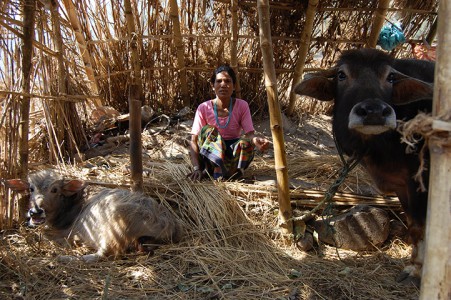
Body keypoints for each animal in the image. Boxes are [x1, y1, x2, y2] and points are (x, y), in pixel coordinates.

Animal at [6, 170, 181, 262]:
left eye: (54, 190)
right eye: (31, 189)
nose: (35, 211)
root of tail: (166, 223)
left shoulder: (66, 232)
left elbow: (43, 234)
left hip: (112, 230)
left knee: (103, 254)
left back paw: (64, 257)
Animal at [294, 48, 436, 284]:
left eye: (390, 77)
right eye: (341, 75)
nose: (374, 112)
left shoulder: (421, 182)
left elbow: (421, 226)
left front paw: (416, 270)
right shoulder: (401, 186)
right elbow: (414, 225)